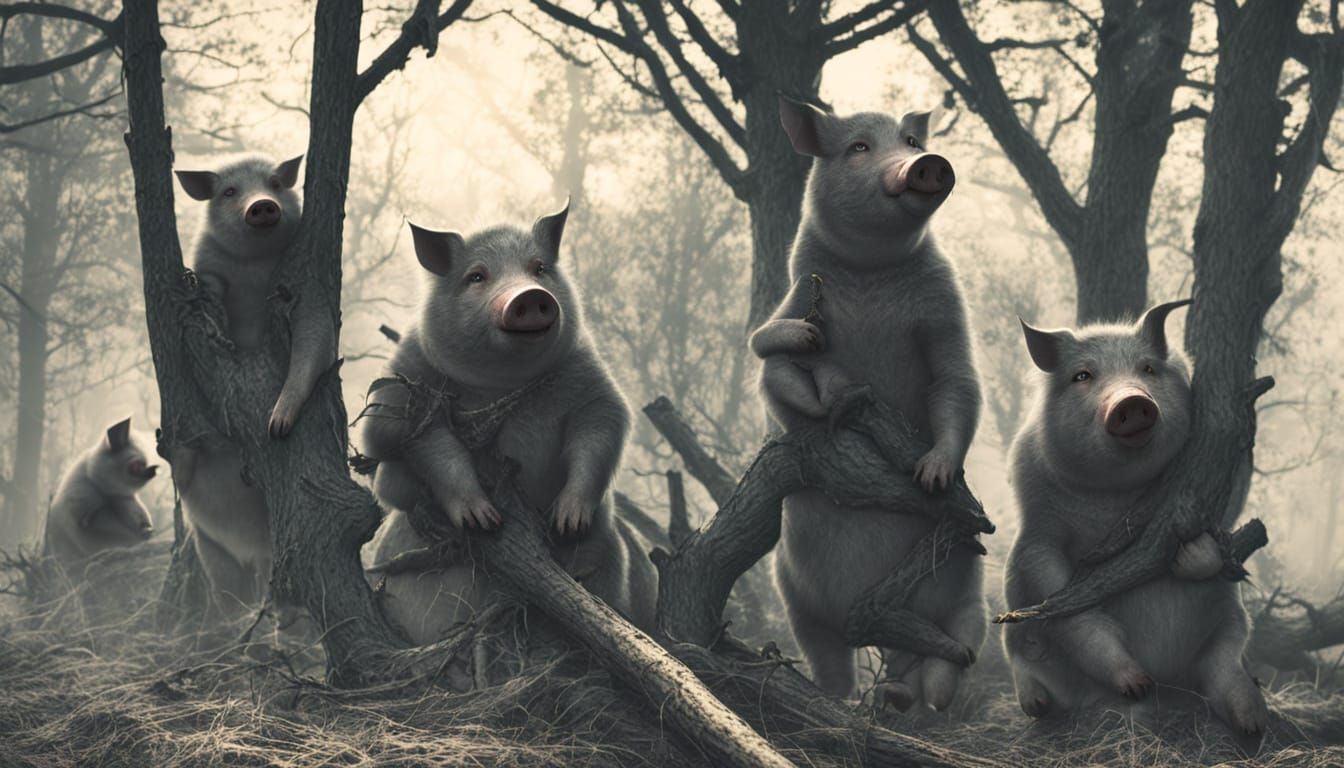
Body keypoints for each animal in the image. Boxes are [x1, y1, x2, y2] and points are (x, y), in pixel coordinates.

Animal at [172, 154, 333, 614]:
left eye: (276, 184)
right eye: (229, 191)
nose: (261, 204)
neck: (251, 271)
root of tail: (249, 545)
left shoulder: (309, 290)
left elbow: (313, 344)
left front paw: (276, 426)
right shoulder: (210, 270)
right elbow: (207, 310)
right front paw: (219, 335)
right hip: (209, 545)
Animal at [359, 202, 656, 650]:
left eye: (538, 268)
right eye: (477, 276)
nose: (529, 296)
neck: (503, 382)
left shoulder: (591, 384)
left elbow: (600, 431)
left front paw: (566, 521)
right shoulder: (409, 393)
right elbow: (435, 452)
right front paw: (485, 521)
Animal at [751, 96, 985, 708]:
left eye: (910, 140)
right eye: (858, 146)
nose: (927, 162)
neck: (871, 271)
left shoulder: (945, 307)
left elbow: (957, 382)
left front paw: (931, 475)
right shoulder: (796, 291)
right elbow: (767, 354)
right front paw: (826, 384)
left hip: (964, 594)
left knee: (950, 659)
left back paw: (910, 694)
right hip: (797, 599)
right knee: (831, 661)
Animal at [1003, 300, 1268, 738]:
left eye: (1147, 369)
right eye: (1083, 375)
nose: (1130, 401)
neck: (1117, 497)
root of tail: (1173, 687)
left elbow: (1217, 538)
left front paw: (1188, 553)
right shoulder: (1039, 536)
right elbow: (1067, 606)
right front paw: (1137, 683)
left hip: (1230, 623)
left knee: (1226, 664)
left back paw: (1251, 721)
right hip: (1019, 630)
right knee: (1024, 661)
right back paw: (1051, 705)